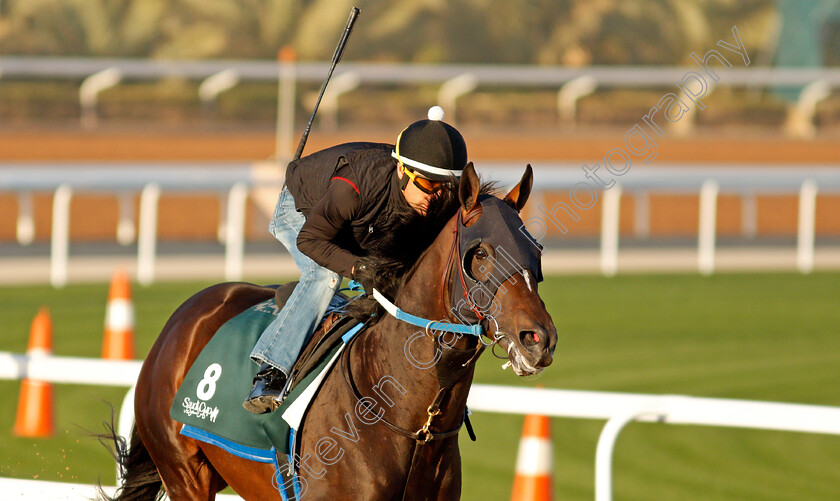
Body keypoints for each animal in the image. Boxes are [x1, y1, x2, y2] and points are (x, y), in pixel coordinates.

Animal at [101, 162, 556, 498]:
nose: (539, 339)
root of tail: (182, 319)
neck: (411, 424)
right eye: (480, 254)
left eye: (535, 249)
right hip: (184, 473)